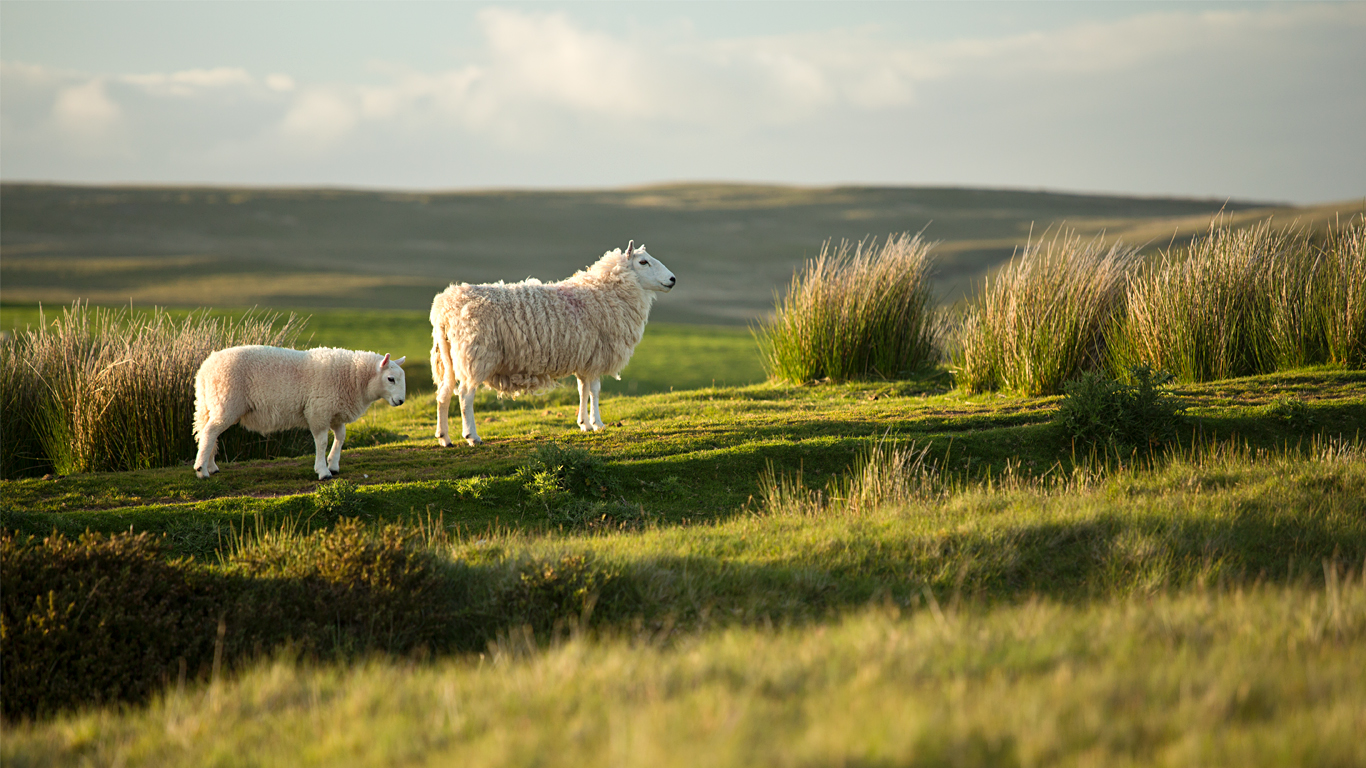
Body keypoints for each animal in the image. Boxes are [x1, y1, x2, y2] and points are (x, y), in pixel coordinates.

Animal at [193, 341, 404, 475]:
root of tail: (205, 369)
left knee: (207, 432)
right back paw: (201, 470)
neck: (352, 378)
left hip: (211, 405)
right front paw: (323, 471)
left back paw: (211, 466)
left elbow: (340, 438)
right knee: (210, 432)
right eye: (390, 379)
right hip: (226, 403)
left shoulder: (334, 412)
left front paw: (333, 464)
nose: (401, 401)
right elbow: (322, 442)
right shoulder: (319, 411)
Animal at [431, 237, 677, 442]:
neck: (604, 292)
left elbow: (583, 389)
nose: (673, 279)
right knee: (465, 396)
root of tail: (445, 307)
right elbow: (595, 390)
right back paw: (471, 436)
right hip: (475, 355)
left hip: (448, 357)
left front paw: (584, 423)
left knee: (443, 394)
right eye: (643, 262)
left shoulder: (585, 356)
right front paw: (598, 423)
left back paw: (445, 438)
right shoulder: (596, 356)